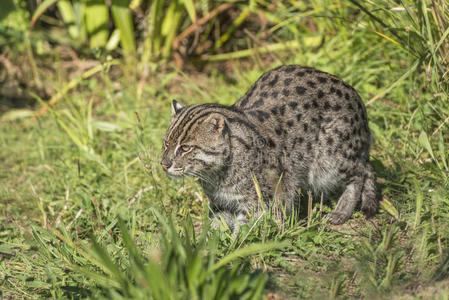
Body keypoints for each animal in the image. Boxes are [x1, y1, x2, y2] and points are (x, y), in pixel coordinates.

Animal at [161, 65, 378, 230]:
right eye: (165, 143)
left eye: (186, 148)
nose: (164, 164)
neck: (216, 175)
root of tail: (358, 99)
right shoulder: (221, 203)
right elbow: (216, 226)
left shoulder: (260, 201)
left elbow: (246, 231)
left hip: (329, 160)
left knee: (361, 171)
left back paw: (342, 211)